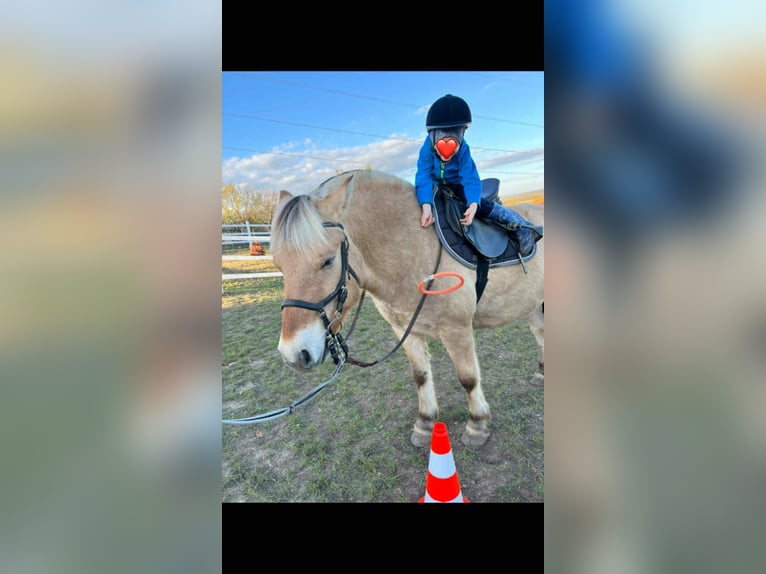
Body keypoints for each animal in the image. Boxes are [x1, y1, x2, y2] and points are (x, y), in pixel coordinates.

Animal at [270, 169, 544, 447]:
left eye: (327, 261)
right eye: (279, 265)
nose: (294, 355)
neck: (413, 250)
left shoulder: (456, 330)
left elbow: (468, 379)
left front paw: (477, 426)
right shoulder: (405, 330)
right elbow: (420, 376)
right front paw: (424, 424)